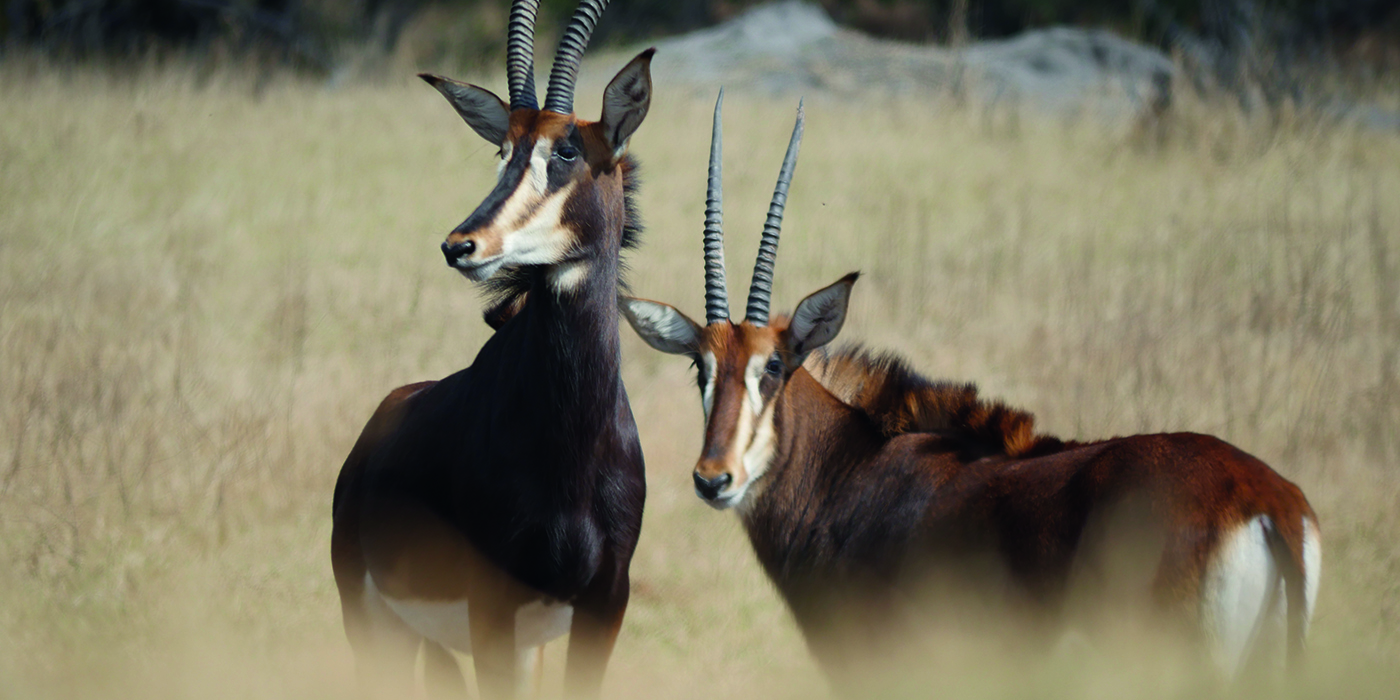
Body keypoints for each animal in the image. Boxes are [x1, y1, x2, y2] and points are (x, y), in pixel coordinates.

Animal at [330, 2, 652, 697]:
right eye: (503, 149)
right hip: (376, 624)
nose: (461, 245)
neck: (572, 447)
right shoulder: (493, 603)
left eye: (567, 149)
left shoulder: (606, 602)